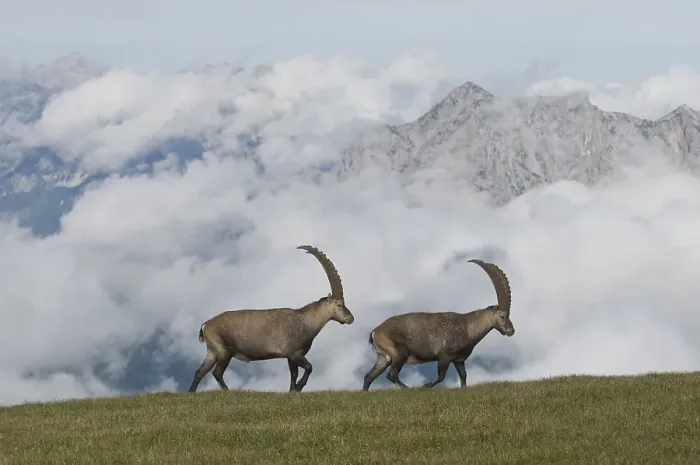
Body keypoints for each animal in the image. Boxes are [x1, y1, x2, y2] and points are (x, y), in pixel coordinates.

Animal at [187, 245, 354, 393]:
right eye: (339, 304)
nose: (350, 318)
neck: (305, 321)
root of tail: (206, 324)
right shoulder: (294, 353)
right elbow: (309, 368)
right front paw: (299, 387)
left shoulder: (290, 356)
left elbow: (293, 374)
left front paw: (292, 391)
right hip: (223, 351)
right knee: (216, 372)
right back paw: (228, 391)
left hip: (212, 351)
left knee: (200, 371)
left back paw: (191, 392)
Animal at [362, 259, 513, 391]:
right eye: (502, 316)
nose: (511, 331)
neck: (468, 327)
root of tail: (375, 331)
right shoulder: (444, 356)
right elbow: (441, 376)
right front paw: (425, 386)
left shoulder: (459, 360)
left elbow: (463, 377)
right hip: (399, 354)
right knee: (391, 374)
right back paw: (409, 389)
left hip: (384, 357)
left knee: (369, 376)